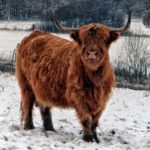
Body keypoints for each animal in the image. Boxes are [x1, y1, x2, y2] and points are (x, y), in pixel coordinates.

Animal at [15, 11, 131, 142]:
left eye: (103, 38)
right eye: (84, 39)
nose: (92, 53)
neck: (95, 79)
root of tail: (35, 34)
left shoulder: (102, 99)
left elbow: (95, 121)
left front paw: (96, 138)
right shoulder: (77, 95)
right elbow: (86, 118)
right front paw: (88, 138)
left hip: (43, 88)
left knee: (45, 108)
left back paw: (50, 129)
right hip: (26, 85)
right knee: (27, 105)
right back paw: (29, 127)